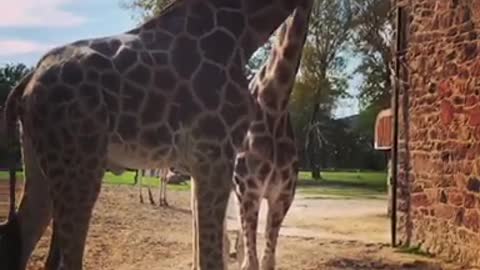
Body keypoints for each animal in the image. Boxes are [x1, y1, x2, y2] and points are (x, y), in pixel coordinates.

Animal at [0, 0, 308, 270]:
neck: (242, 31)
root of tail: (27, 82)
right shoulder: (215, 152)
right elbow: (211, 258)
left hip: (42, 164)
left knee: (20, 241)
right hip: (79, 164)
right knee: (65, 258)